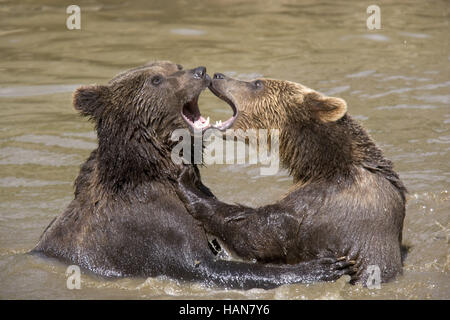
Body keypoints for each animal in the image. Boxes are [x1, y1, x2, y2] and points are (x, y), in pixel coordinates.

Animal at [31, 61, 356, 288]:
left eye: (175, 66)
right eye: (156, 79)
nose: (200, 71)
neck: (154, 167)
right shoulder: (147, 223)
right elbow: (203, 266)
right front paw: (324, 266)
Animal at [177, 72, 408, 284]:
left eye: (257, 83)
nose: (218, 75)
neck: (324, 163)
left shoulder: (322, 206)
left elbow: (259, 232)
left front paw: (188, 185)